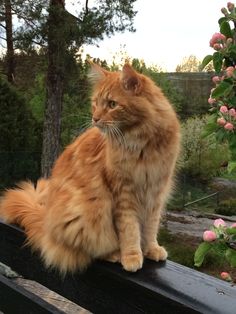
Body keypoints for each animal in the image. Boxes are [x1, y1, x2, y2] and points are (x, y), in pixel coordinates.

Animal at [0, 62, 181, 274]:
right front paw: (132, 256)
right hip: (87, 212)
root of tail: (45, 220)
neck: (143, 145)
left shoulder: (156, 191)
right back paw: (114, 254)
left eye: (112, 104)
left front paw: (151, 248)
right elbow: (129, 230)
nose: (95, 118)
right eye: (95, 103)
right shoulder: (123, 194)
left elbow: (151, 227)